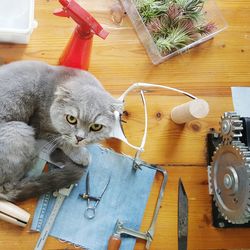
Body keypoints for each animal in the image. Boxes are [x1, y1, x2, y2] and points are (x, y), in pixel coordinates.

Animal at [0, 60, 122, 201]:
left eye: (96, 127)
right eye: (71, 119)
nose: (80, 138)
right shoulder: (42, 127)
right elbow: (64, 140)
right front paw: (82, 155)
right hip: (22, 130)